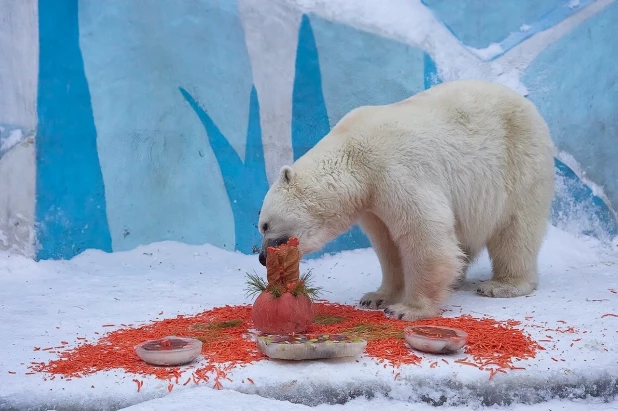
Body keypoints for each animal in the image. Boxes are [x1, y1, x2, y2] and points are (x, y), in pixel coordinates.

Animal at [255, 78, 552, 322]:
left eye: (264, 225)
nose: (261, 257)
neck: (352, 153)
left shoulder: (396, 169)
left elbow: (423, 231)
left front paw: (407, 309)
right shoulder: (372, 201)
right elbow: (388, 244)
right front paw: (376, 297)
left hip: (518, 164)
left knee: (516, 230)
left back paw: (502, 284)